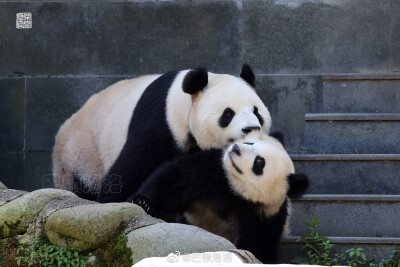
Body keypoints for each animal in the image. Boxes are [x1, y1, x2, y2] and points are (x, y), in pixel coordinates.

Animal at [52, 65, 272, 203]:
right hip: (80, 155)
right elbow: (132, 167)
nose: (251, 128)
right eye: (228, 114)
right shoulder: (161, 122)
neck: (185, 103)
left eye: (256, 112)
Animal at [129, 132, 310, 264]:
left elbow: (259, 245)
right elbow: (175, 179)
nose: (236, 148)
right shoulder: (215, 170)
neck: (237, 192)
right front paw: (143, 202)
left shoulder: (265, 214)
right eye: (250, 143)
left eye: (259, 162)